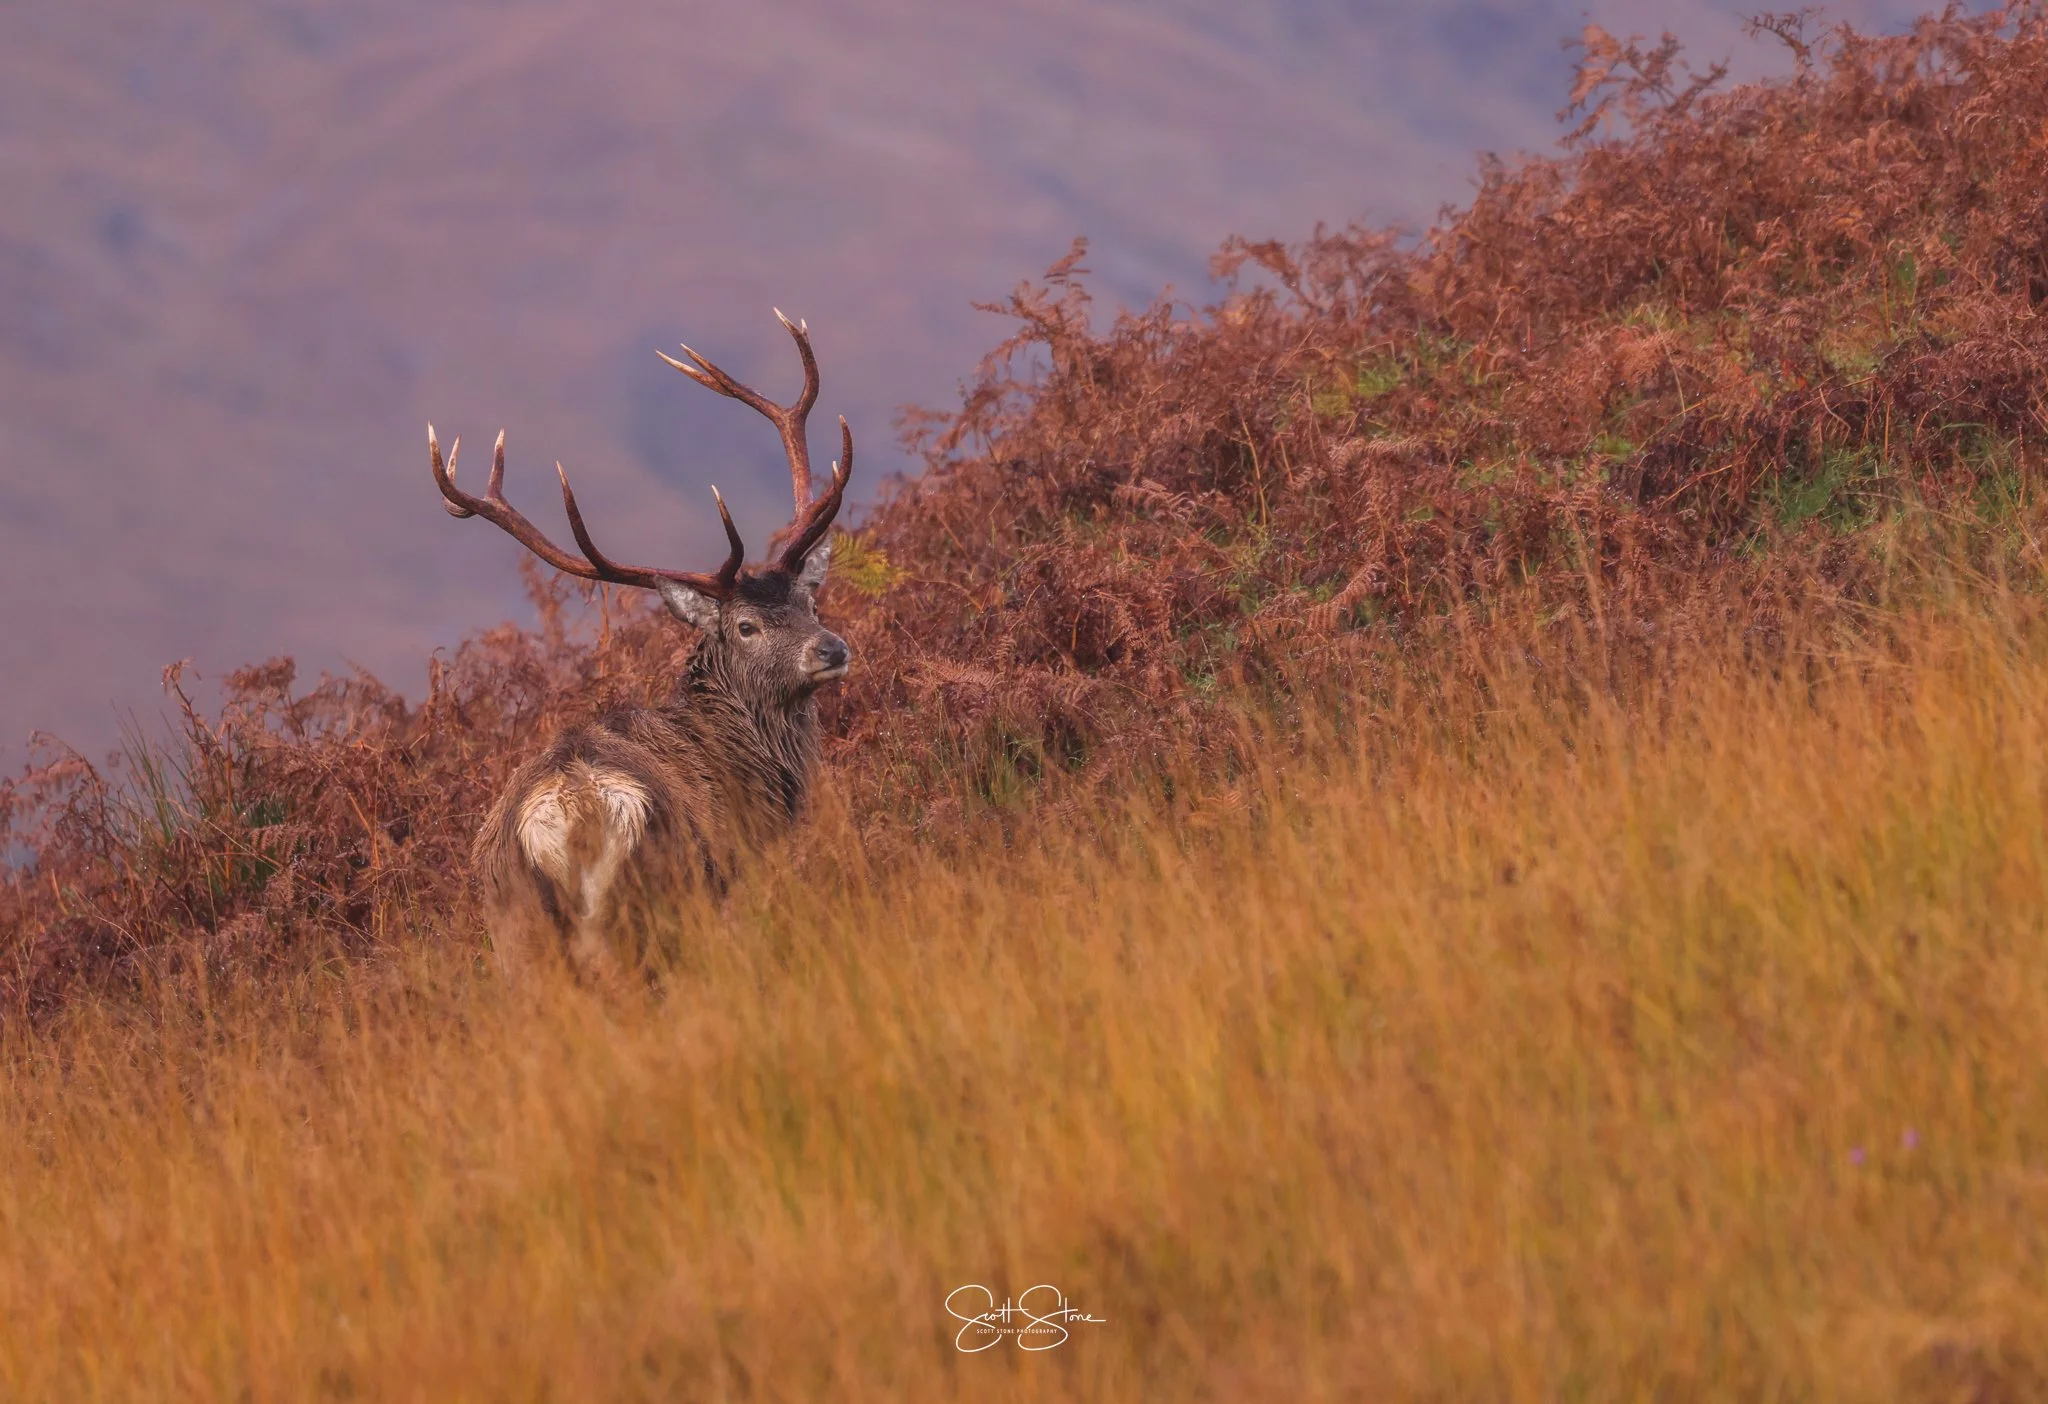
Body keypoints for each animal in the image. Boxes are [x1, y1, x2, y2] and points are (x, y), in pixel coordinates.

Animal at [428, 311, 853, 981]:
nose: (831, 650)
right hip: (657, 902)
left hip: (516, 928)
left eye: (808, 602)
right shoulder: (729, 881)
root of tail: (572, 814)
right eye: (745, 627)